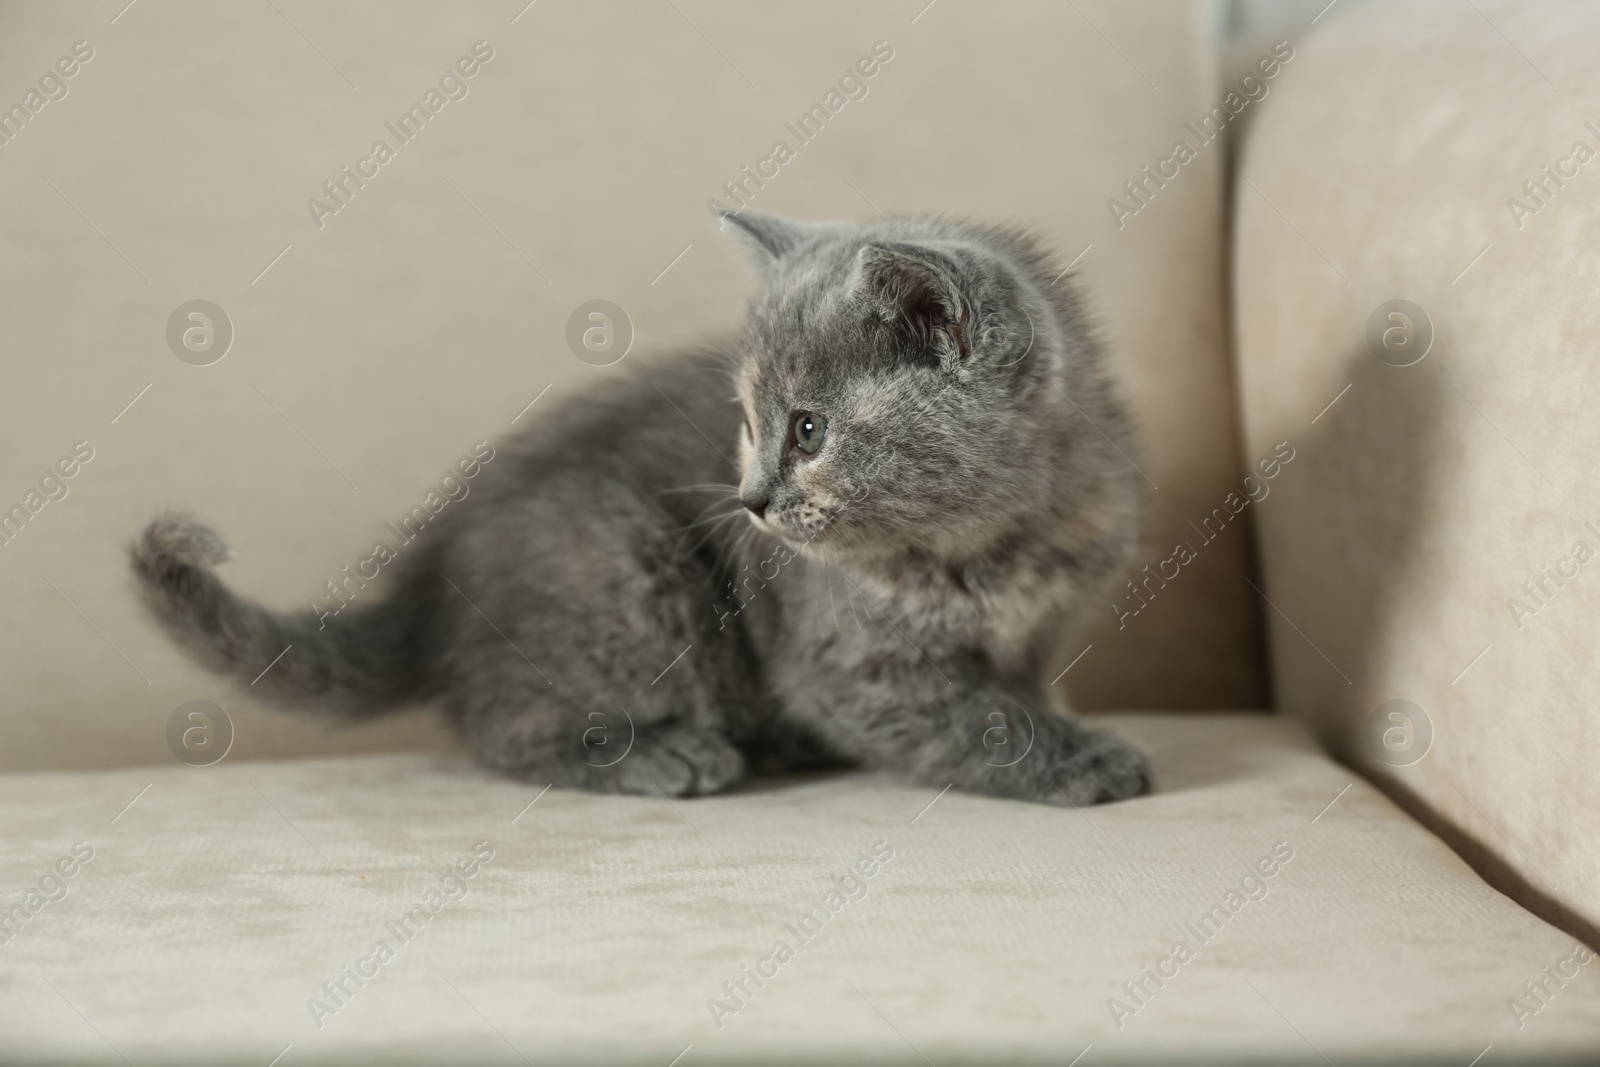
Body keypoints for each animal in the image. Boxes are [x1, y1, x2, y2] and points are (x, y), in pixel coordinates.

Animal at [128, 212, 1152, 806]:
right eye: (748, 423)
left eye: (809, 429)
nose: (750, 501)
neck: (996, 540)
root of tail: (431, 574)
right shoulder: (846, 661)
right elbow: (978, 718)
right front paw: (1078, 758)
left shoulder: (1039, 627)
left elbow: (1014, 690)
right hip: (626, 568)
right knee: (503, 723)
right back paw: (657, 754)